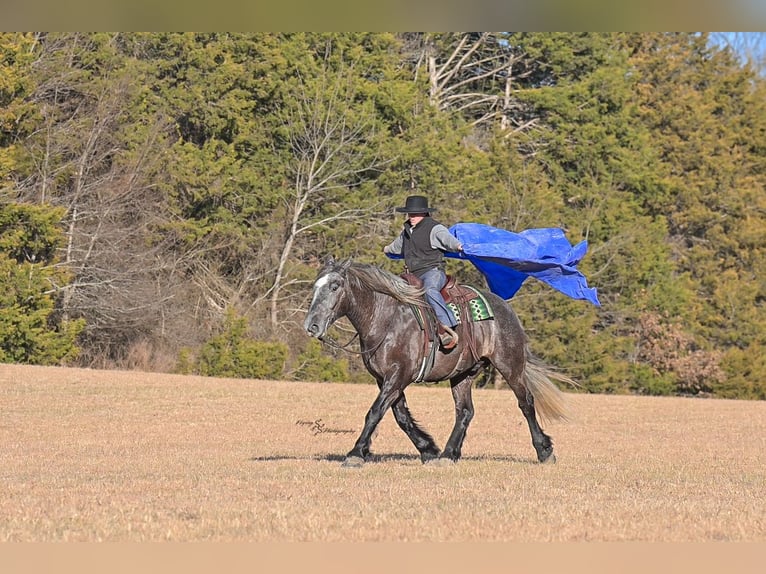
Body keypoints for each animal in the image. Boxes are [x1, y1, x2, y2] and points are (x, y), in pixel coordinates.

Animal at [303, 256, 575, 468]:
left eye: (335, 286)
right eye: (315, 286)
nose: (311, 325)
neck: (386, 318)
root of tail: (505, 309)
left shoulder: (398, 375)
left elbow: (375, 412)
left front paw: (356, 453)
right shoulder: (386, 379)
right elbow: (401, 417)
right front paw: (429, 449)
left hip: (510, 365)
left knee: (526, 403)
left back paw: (544, 451)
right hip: (463, 374)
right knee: (465, 411)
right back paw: (448, 454)